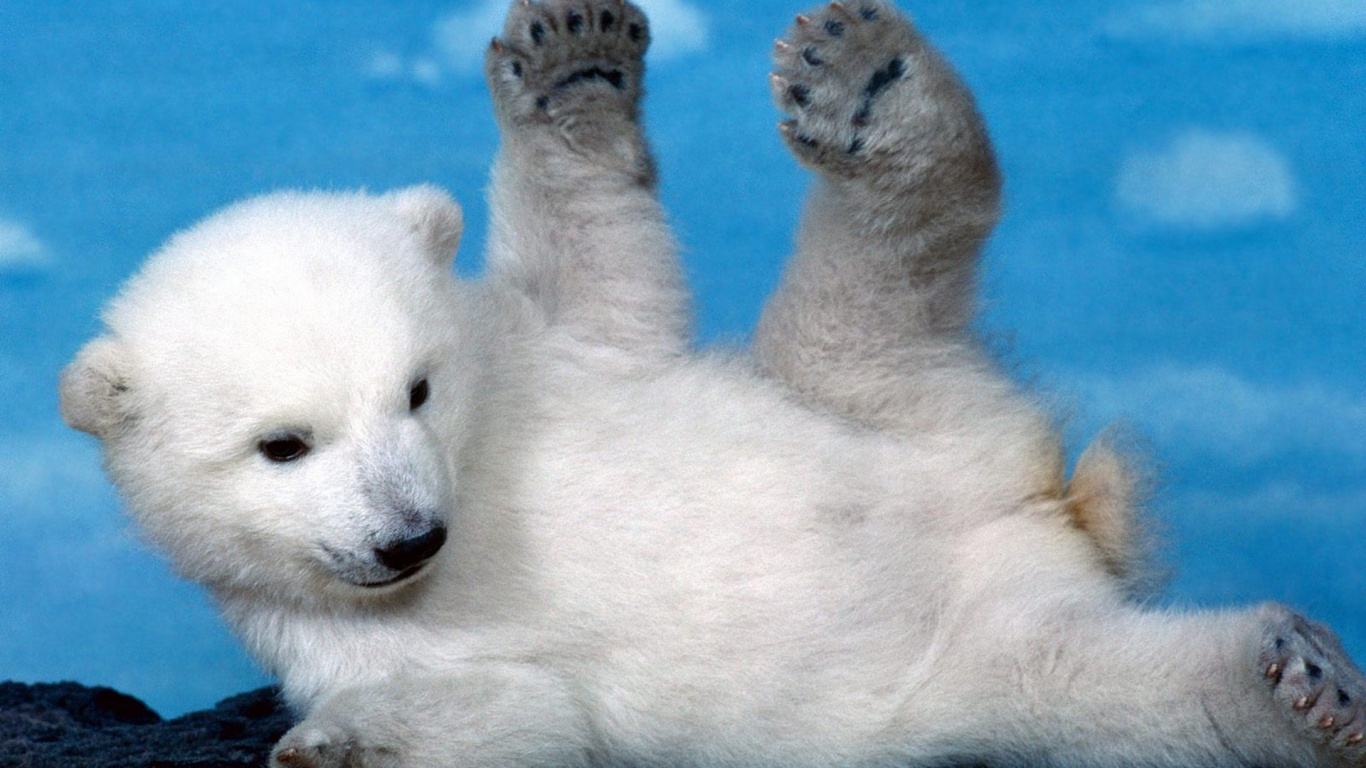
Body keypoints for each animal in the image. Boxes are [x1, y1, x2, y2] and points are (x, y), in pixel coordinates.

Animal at [59, 1, 1365, 767]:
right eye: (282, 445)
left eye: (418, 391)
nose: (412, 537)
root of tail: (1038, 512)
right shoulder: (336, 633)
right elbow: (513, 714)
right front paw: (338, 749)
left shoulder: (551, 360)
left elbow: (604, 274)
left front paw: (570, 64)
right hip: (967, 655)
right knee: (1125, 695)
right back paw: (1296, 687)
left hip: (868, 406)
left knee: (880, 272)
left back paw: (870, 83)